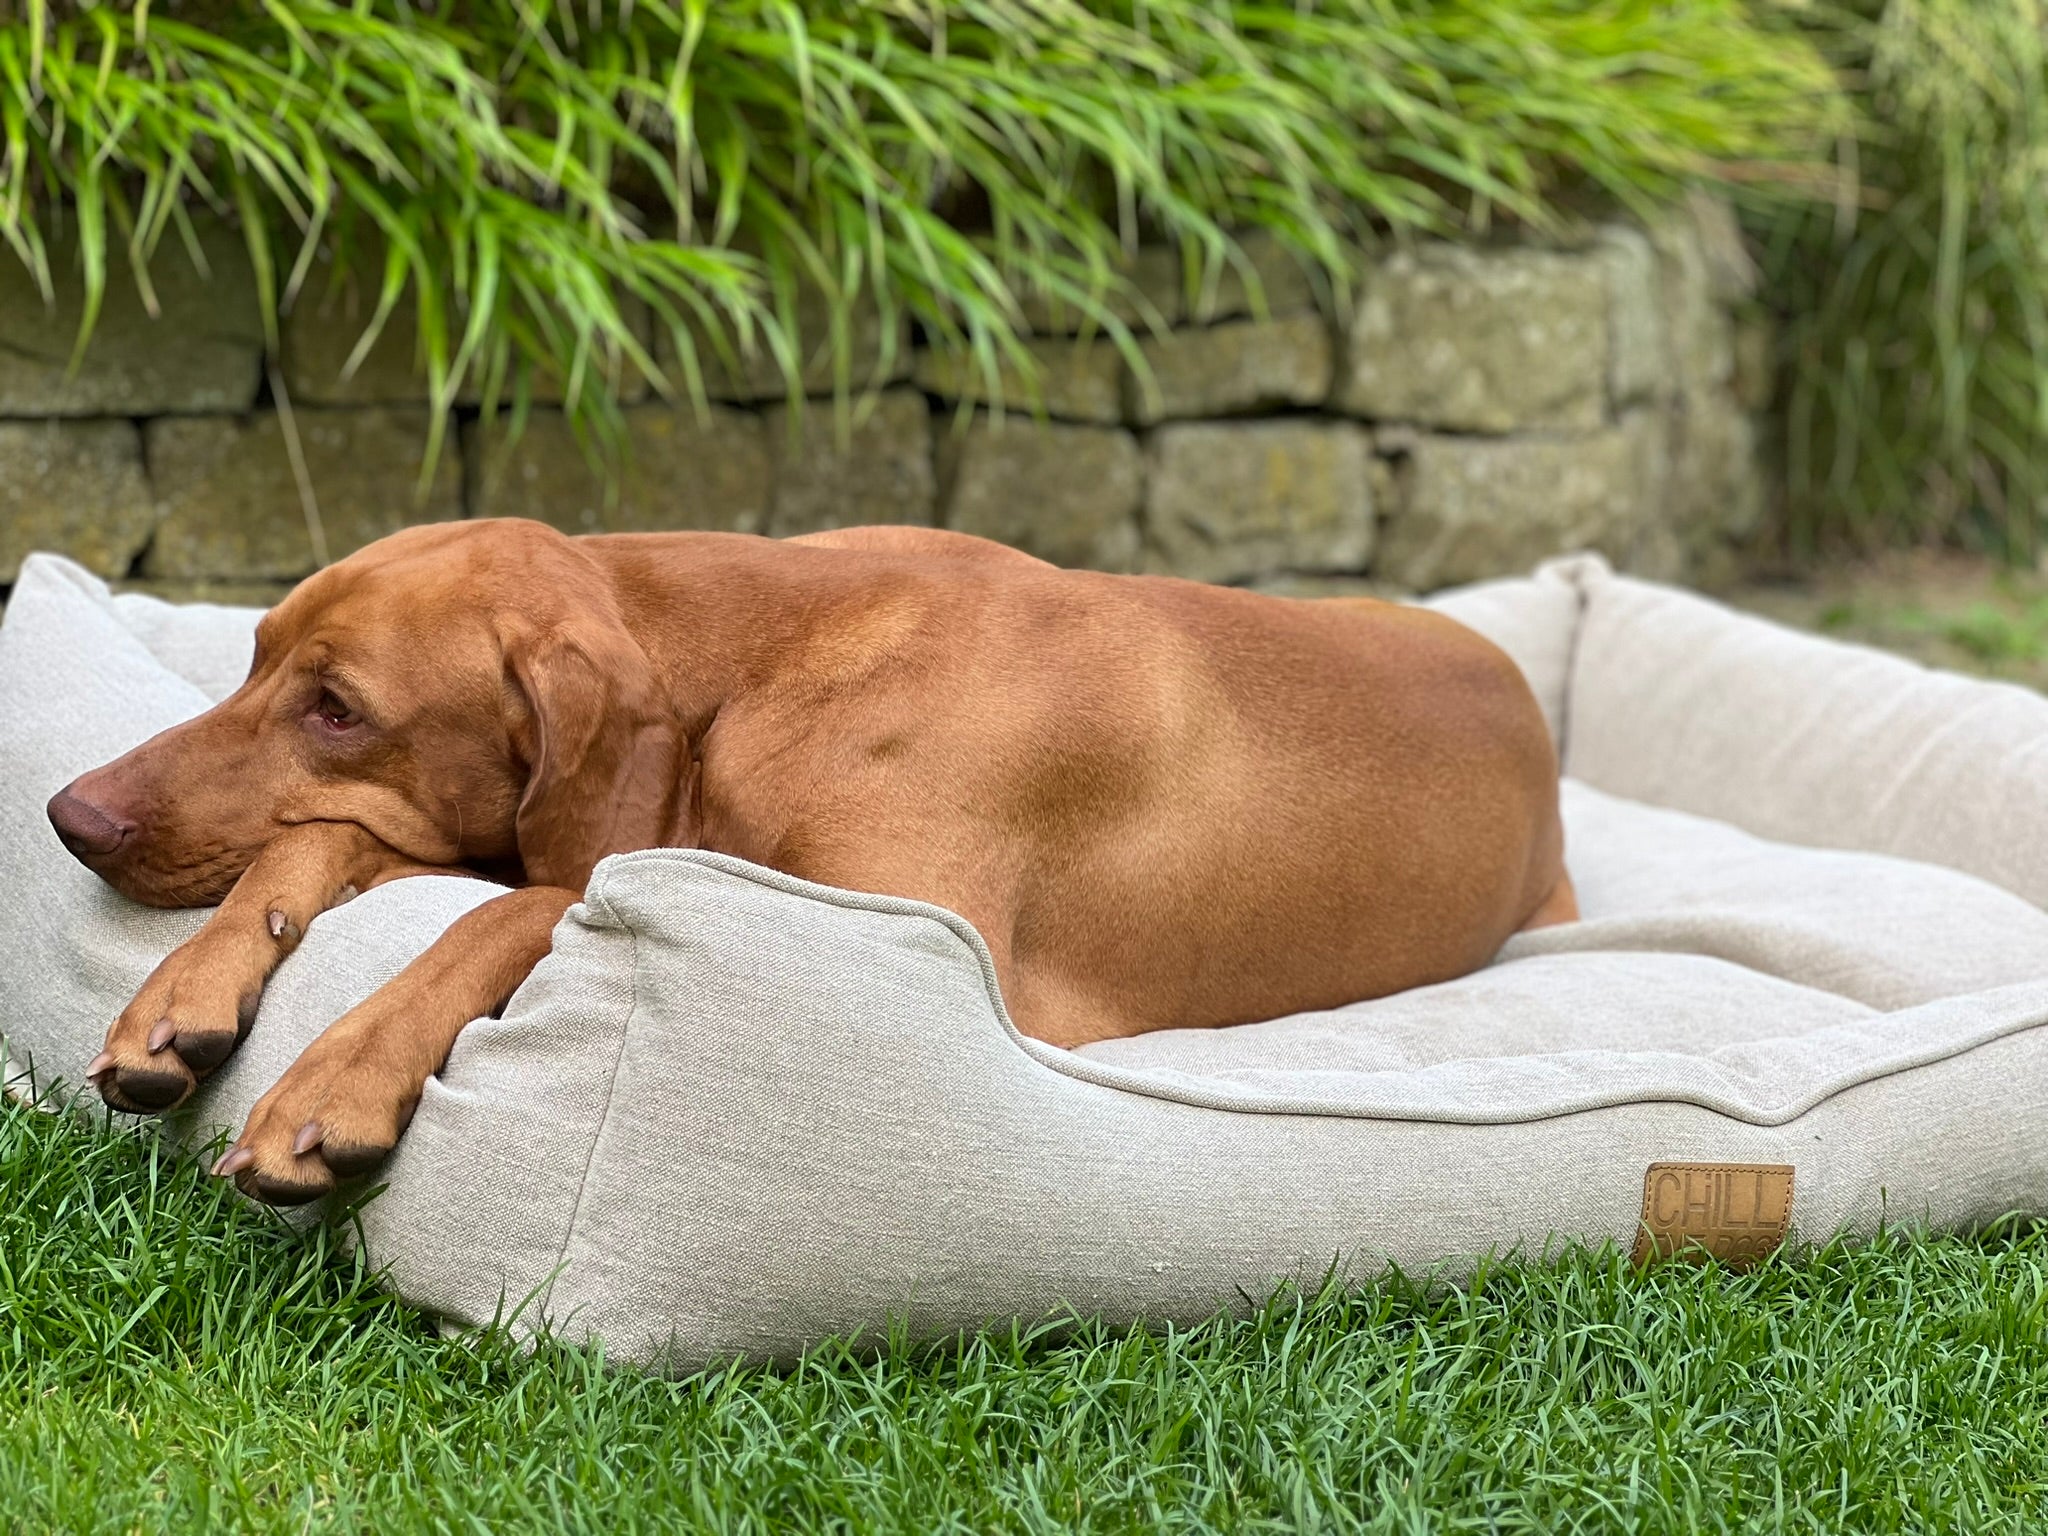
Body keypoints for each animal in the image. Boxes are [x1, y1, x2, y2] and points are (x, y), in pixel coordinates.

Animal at [51, 524, 1581, 1212]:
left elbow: (527, 905)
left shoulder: (908, 929)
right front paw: (181, 1001)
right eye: (254, 658)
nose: (69, 814)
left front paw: (334, 1083)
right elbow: (327, 841)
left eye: (339, 707)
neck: (761, 655)